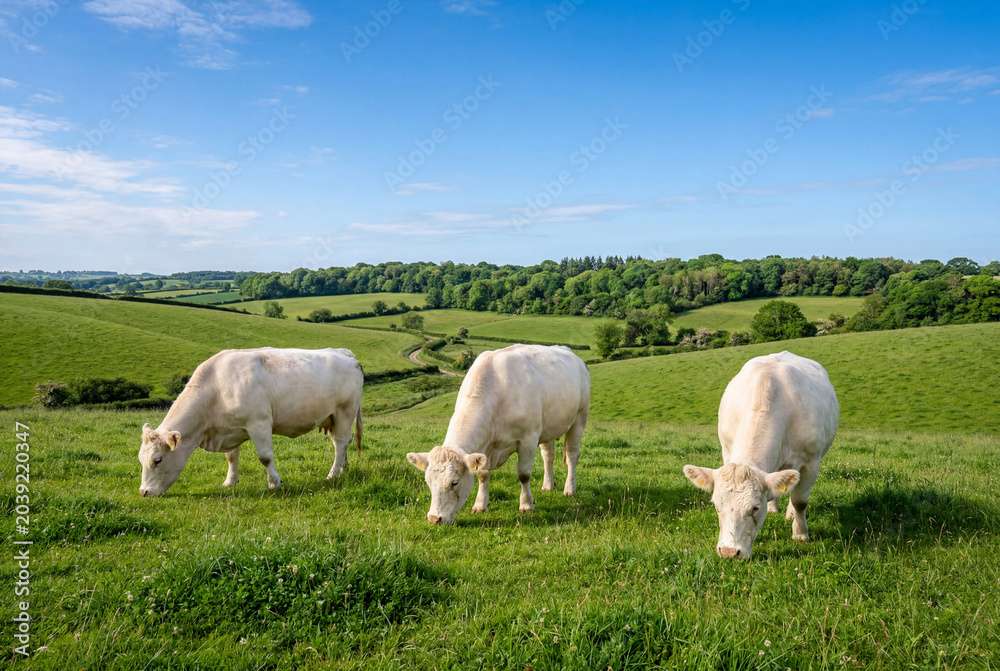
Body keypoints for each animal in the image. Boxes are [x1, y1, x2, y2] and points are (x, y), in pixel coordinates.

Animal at [138, 347, 363, 497]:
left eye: (157, 460)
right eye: (140, 459)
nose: (144, 492)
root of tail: (345, 352)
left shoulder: (259, 423)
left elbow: (265, 457)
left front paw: (274, 483)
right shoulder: (231, 428)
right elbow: (231, 457)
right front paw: (229, 482)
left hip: (345, 411)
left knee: (341, 442)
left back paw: (332, 475)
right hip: (332, 417)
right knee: (342, 442)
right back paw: (343, 470)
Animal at [406, 344, 590, 525]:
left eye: (454, 482)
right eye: (428, 481)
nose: (434, 518)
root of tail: (571, 353)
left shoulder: (528, 439)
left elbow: (524, 475)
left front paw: (526, 505)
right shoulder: (486, 448)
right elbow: (482, 474)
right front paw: (480, 504)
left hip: (580, 417)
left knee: (572, 456)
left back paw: (569, 489)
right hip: (548, 427)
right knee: (548, 456)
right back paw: (548, 485)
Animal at [683, 351, 838, 560]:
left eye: (755, 508)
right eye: (716, 505)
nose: (729, 552)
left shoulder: (811, 462)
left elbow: (800, 501)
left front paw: (800, 534)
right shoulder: (727, 451)